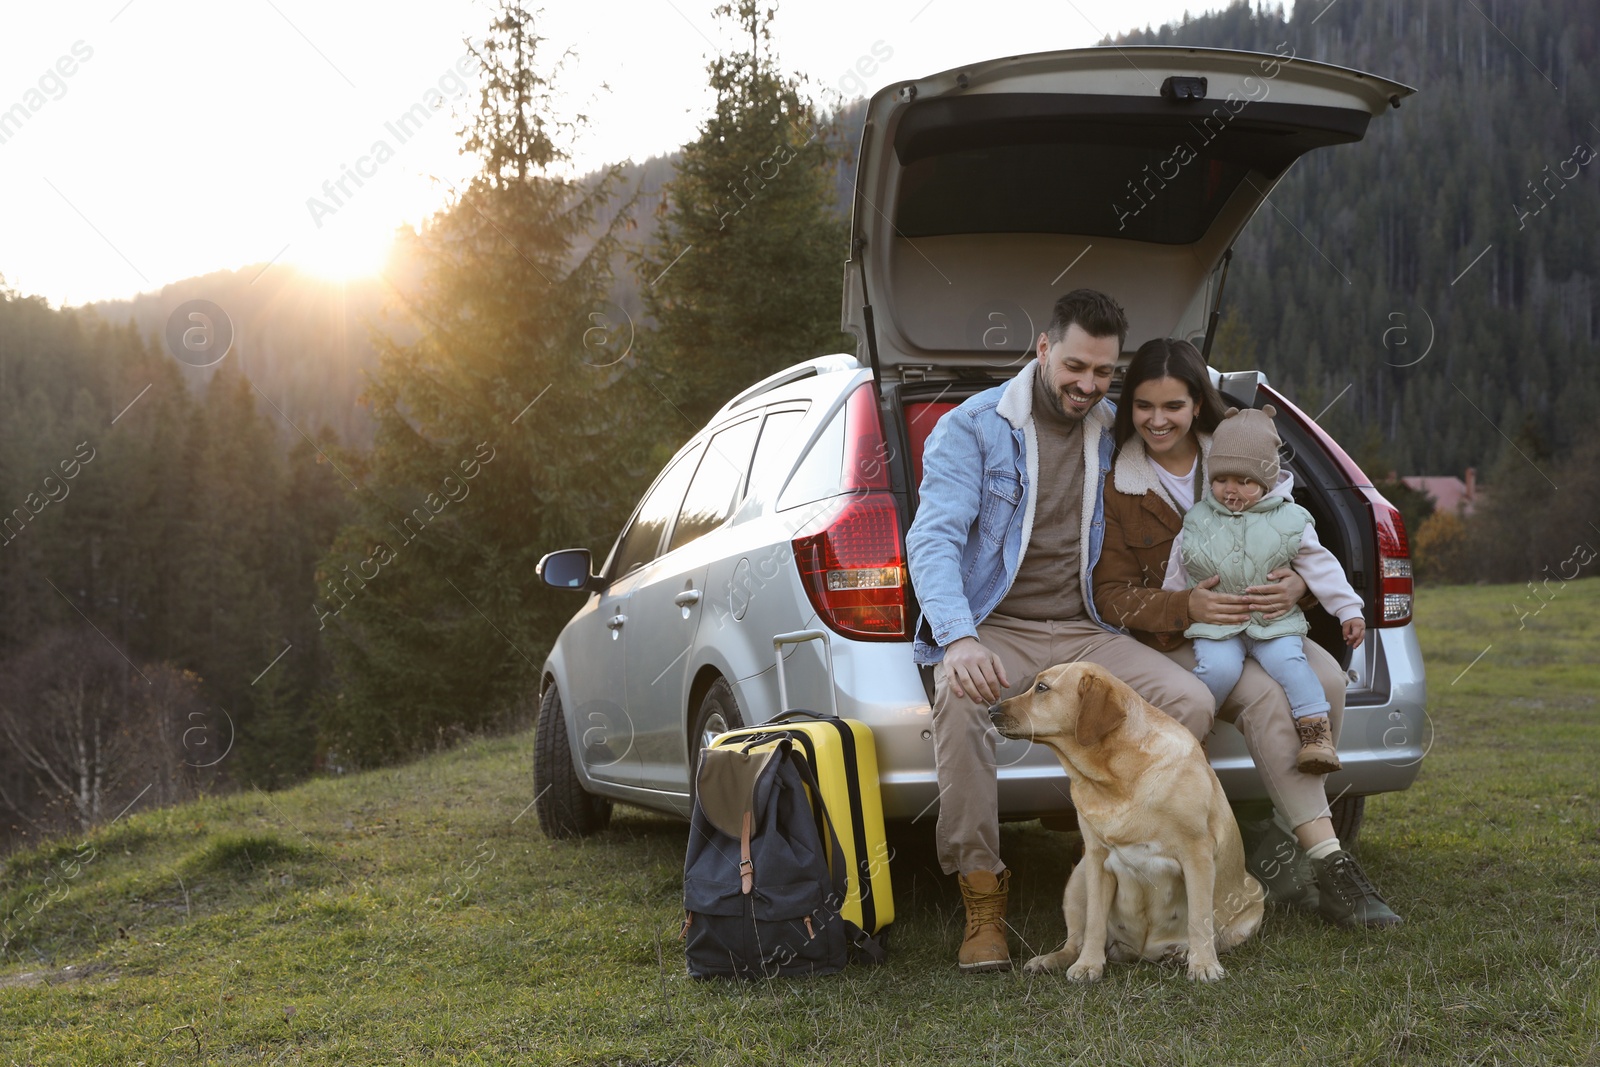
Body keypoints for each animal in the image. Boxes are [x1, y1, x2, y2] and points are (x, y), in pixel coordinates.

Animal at [985, 668, 1260, 985]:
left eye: (1041, 687)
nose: (991, 710)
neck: (1116, 777)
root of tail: (1143, 953)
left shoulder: (1197, 855)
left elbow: (1199, 918)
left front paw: (1203, 965)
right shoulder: (1095, 858)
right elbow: (1094, 922)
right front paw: (1088, 965)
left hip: (1254, 900)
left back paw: (1181, 954)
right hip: (1077, 878)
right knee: (1074, 940)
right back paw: (1050, 960)